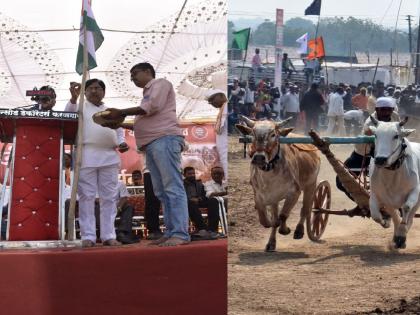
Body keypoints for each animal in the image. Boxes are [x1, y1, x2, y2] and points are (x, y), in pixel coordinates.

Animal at [235, 116, 320, 252]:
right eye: (253, 133)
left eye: (273, 134)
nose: (259, 158)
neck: (270, 174)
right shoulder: (260, 196)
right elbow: (266, 220)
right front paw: (272, 230)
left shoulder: (294, 193)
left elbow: (283, 215)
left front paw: (285, 230)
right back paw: (271, 243)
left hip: (311, 185)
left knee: (305, 210)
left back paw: (299, 231)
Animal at [370, 116, 418, 249]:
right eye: (375, 135)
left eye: (396, 136)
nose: (380, 159)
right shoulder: (379, 195)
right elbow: (377, 215)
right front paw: (386, 223)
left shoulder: (415, 191)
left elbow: (406, 208)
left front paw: (402, 234)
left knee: (411, 216)